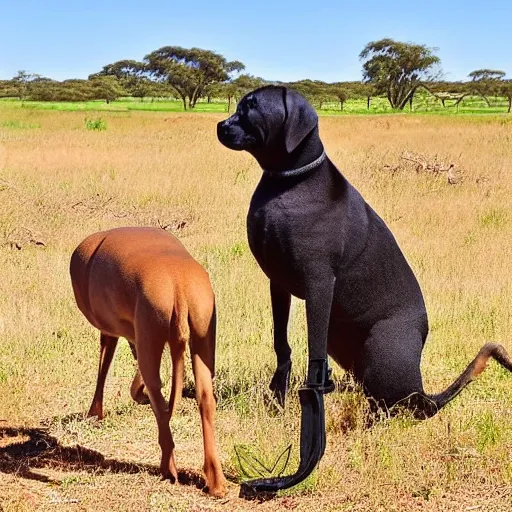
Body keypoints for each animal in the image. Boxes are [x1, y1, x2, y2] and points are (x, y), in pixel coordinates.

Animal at [69, 227, 226, 496]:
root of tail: (178, 286)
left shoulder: (118, 332)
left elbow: (105, 365)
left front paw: (95, 413)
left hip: (153, 327)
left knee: (159, 399)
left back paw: (168, 468)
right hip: (202, 329)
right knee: (204, 398)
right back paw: (216, 481)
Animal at [217, 85, 512, 420]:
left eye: (251, 106)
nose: (220, 126)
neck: (288, 182)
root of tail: (424, 394)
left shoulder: (319, 284)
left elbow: (312, 350)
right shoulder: (278, 283)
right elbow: (282, 343)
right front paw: (277, 397)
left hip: (381, 349)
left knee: (392, 405)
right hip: (343, 342)